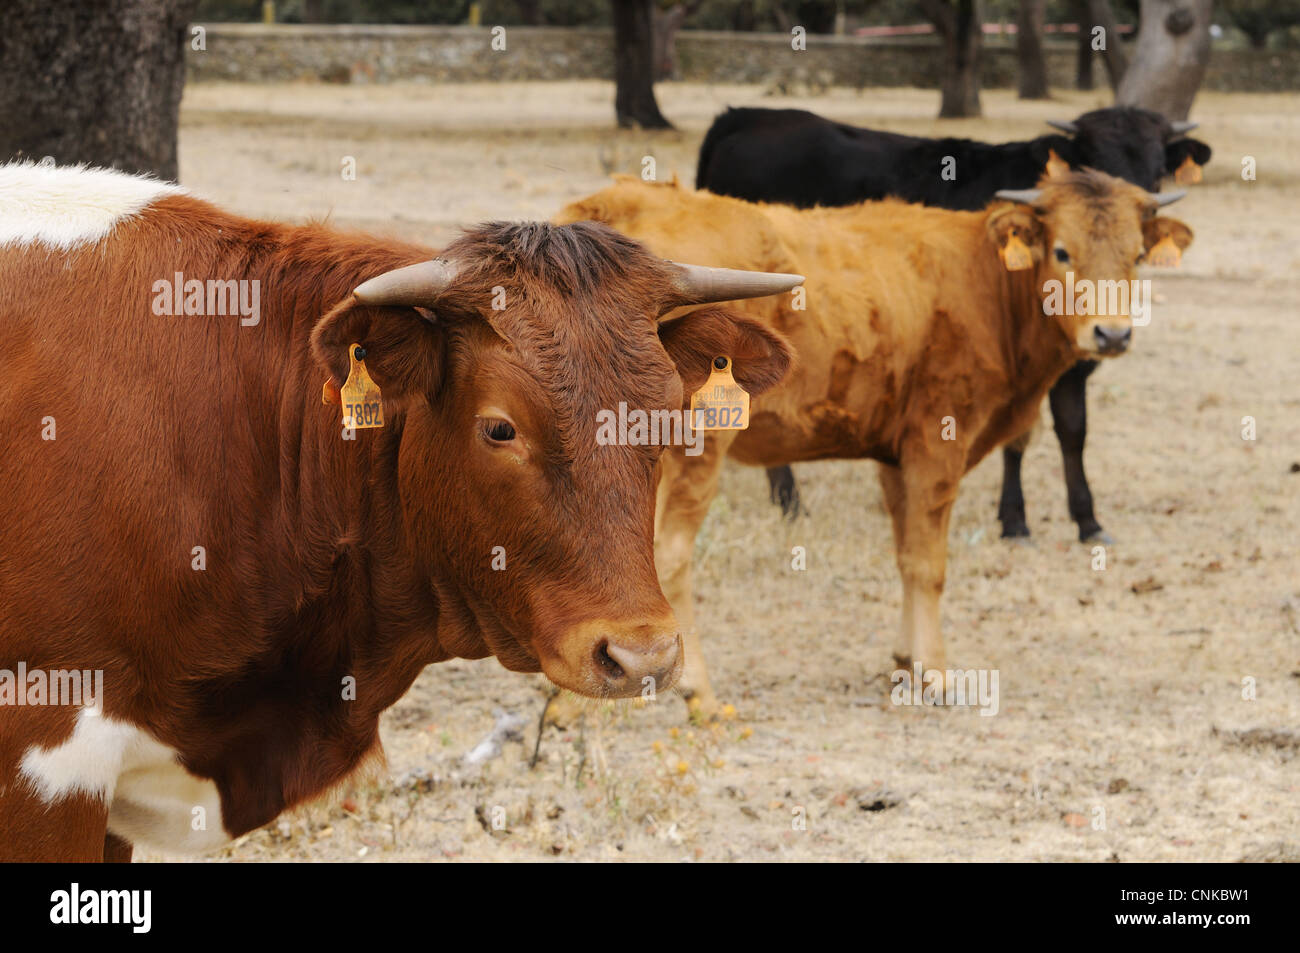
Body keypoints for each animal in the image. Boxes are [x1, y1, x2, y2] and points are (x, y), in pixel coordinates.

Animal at [557, 171, 1192, 718]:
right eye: (1062, 252)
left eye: (1137, 255)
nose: (1112, 334)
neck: (984, 284)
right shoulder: (939, 443)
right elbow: (930, 564)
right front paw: (937, 674)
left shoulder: (896, 456)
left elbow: (906, 555)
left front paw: (908, 659)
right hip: (696, 449)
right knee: (667, 556)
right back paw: (700, 694)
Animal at [697, 105, 1210, 543]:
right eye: (1093, 159)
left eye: (1157, 166)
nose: (1145, 206)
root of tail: (743, 115)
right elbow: (1020, 437)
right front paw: (1015, 520)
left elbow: (1073, 431)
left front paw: (1087, 520)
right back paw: (789, 500)